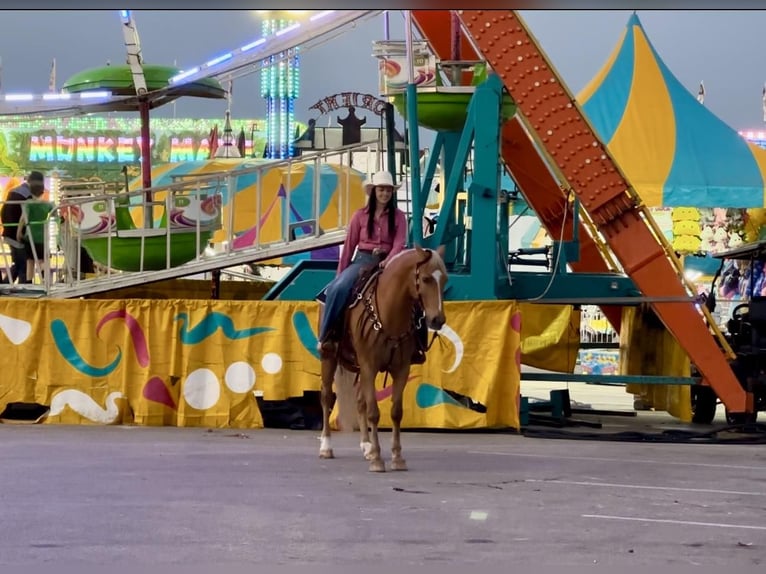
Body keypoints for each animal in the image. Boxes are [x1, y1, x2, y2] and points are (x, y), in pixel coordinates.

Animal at [320, 245, 450, 474]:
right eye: (425, 279)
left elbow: (396, 412)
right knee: (327, 397)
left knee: (360, 402)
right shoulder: (369, 366)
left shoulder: (401, 369)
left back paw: (367, 446)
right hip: (329, 357)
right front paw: (378, 460)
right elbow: (374, 413)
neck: (390, 313)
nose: (437, 320)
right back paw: (326, 447)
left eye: (444, 279)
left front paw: (396, 458)